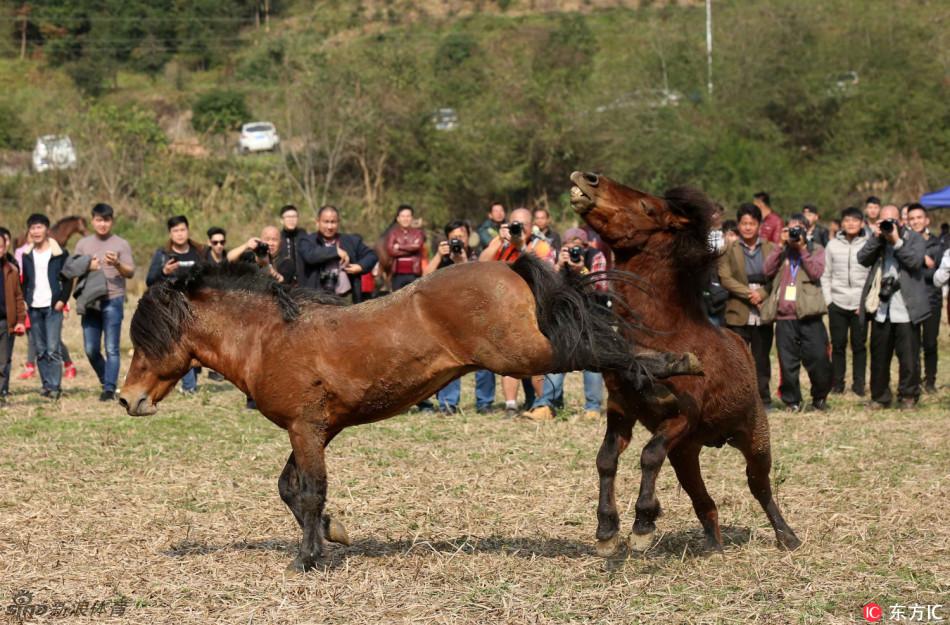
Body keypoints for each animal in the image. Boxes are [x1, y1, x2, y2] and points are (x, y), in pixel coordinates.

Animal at [119, 255, 700, 572]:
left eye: (148, 338)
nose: (128, 400)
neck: (271, 339)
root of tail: (506, 265)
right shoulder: (316, 430)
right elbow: (291, 489)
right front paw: (332, 534)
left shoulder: (306, 429)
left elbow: (308, 491)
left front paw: (308, 557)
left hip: (529, 354)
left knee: (599, 347)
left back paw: (676, 370)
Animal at [572, 171, 804, 556]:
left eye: (646, 206)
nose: (588, 179)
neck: (662, 337)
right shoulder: (622, 411)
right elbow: (606, 459)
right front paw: (607, 530)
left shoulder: (682, 416)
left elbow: (649, 455)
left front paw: (643, 523)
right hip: (686, 452)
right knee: (703, 500)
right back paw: (713, 545)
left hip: (753, 436)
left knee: (759, 486)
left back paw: (787, 536)